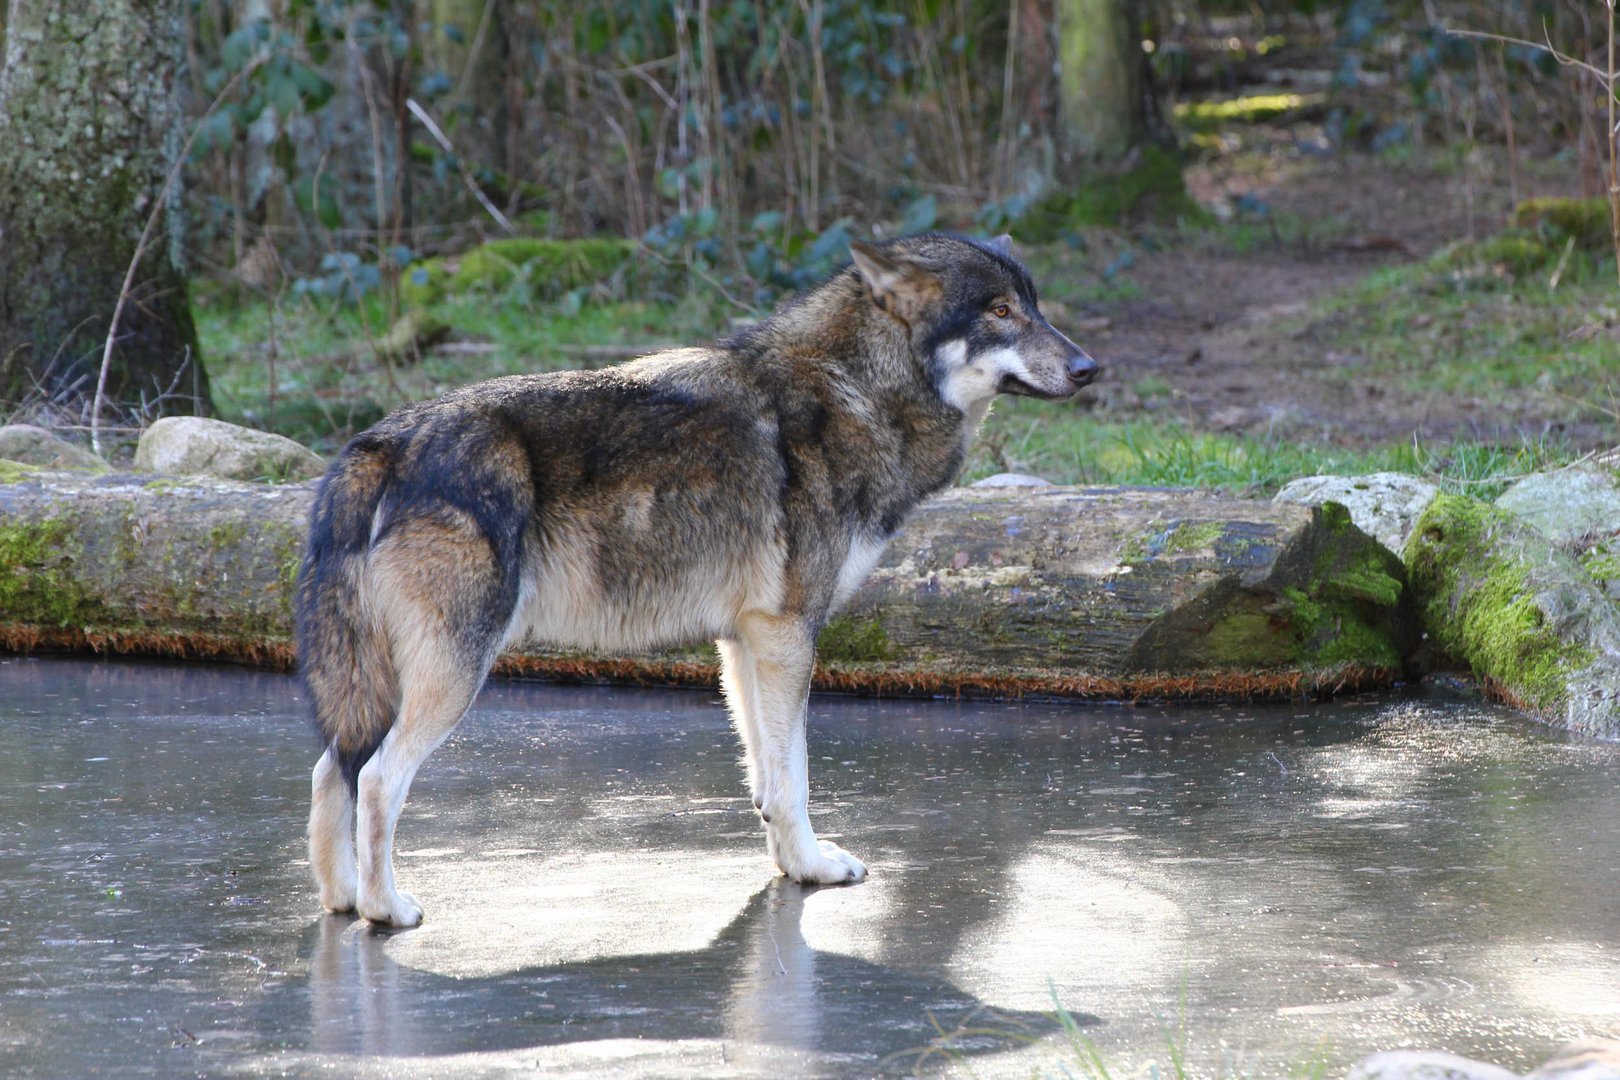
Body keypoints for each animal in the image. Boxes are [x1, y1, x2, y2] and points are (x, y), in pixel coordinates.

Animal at [296, 233, 1095, 926]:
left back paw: (341, 900)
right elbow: (797, 774)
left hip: (378, 683)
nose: (1090, 369)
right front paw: (815, 867)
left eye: (1035, 305)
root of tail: (382, 441)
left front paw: (794, 867)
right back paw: (384, 909)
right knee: (376, 780)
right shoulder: (788, 634)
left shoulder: (744, 642)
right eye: (1000, 311)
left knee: (329, 772)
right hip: (454, 677)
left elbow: (769, 776)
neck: (856, 392)